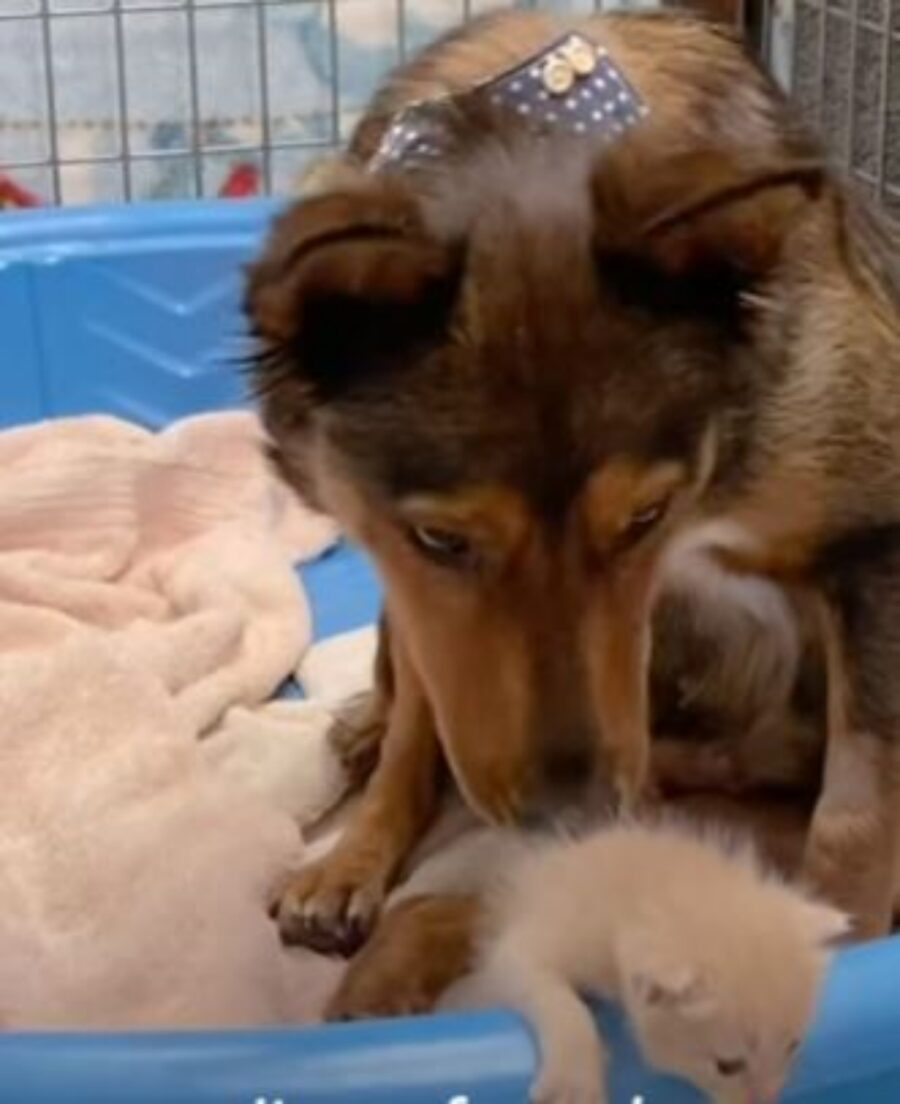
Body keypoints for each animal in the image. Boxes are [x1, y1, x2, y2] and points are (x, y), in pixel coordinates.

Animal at [248, 4, 900, 967]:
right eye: (442, 539)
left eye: (648, 517)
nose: (570, 815)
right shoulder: (412, 582)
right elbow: (421, 719)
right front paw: (353, 857)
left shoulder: (873, 542)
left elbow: (857, 809)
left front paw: (843, 951)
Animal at [439, 821, 848, 1104]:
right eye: (727, 1066)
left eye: (793, 1046)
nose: (769, 1098)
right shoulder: (519, 950)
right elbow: (561, 1002)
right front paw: (575, 1081)